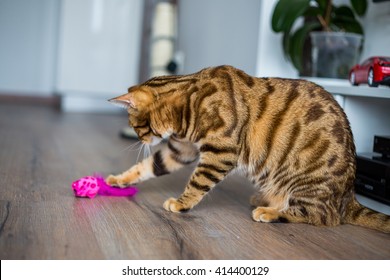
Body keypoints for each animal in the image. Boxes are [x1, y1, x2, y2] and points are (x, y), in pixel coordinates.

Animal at [106, 65, 390, 232]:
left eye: (136, 126)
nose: (140, 140)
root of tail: (349, 196)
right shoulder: (181, 149)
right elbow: (148, 166)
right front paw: (118, 179)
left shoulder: (220, 153)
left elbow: (197, 182)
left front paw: (181, 203)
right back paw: (265, 199)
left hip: (309, 185)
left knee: (321, 216)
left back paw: (270, 212)